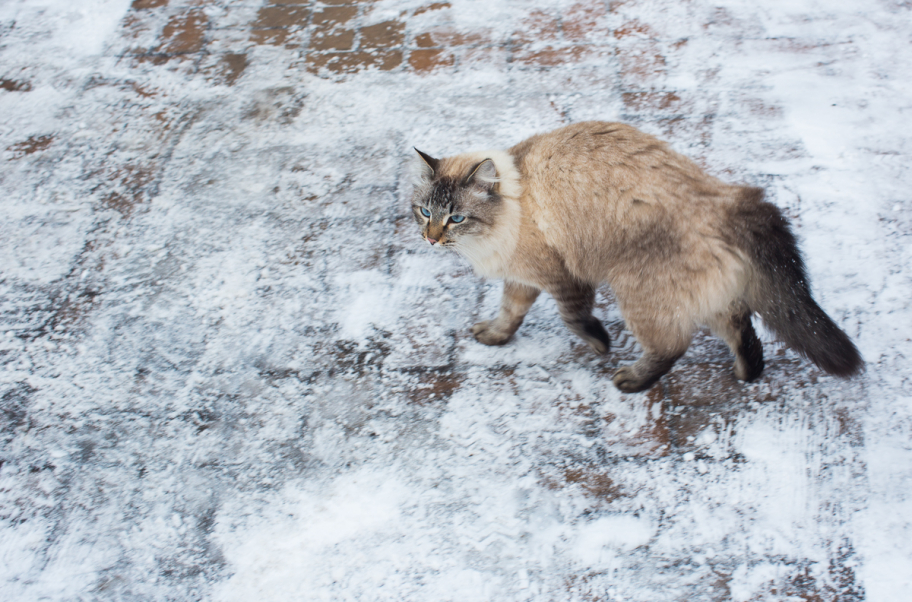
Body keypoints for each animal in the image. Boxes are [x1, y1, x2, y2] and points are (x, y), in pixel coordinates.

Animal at [410, 122, 860, 394]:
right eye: (426, 212)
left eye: (457, 218)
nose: (431, 240)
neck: (513, 206)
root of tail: (725, 199)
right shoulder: (522, 279)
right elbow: (509, 314)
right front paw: (495, 337)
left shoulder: (563, 277)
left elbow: (574, 318)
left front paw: (600, 344)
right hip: (694, 292)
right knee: (738, 323)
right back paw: (748, 372)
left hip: (636, 292)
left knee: (674, 345)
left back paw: (632, 379)